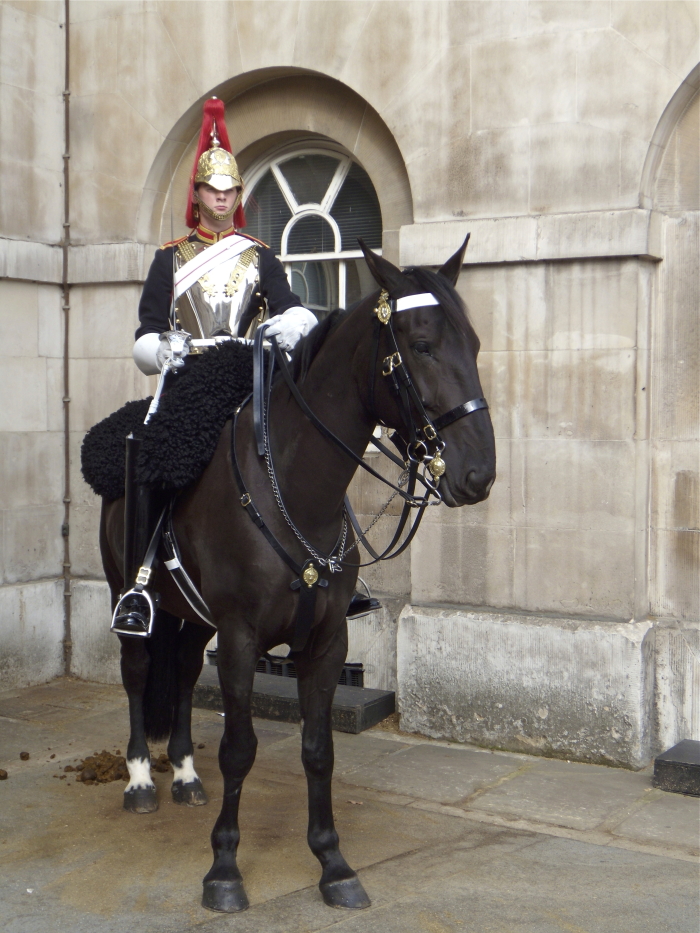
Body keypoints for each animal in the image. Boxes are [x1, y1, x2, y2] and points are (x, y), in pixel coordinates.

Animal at [100, 238, 498, 912]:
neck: (294, 486)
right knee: (136, 673)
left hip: (192, 616)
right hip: (129, 596)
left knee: (183, 673)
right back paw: (140, 780)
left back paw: (183, 774)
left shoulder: (327, 640)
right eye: (420, 345)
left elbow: (319, 750)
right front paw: (224, 869)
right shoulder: (240, 639)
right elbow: (239, 749)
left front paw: (332, 862)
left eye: (471, 343)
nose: (479, 473)